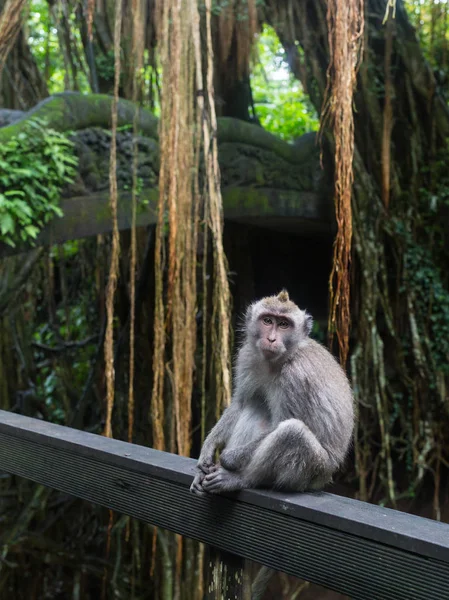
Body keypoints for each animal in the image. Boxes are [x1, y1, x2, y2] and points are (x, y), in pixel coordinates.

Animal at [189, 290, 354, 496]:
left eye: (284, 324)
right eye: (267, 320)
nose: (271, 339)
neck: (279, 360)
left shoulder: (296, 377)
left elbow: (280, 424)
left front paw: (227, 458)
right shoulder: (247, 357)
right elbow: (240, 403)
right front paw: (208, 449)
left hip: (315, 470)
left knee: (293, 432)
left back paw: (242, 479)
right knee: (255, 405)